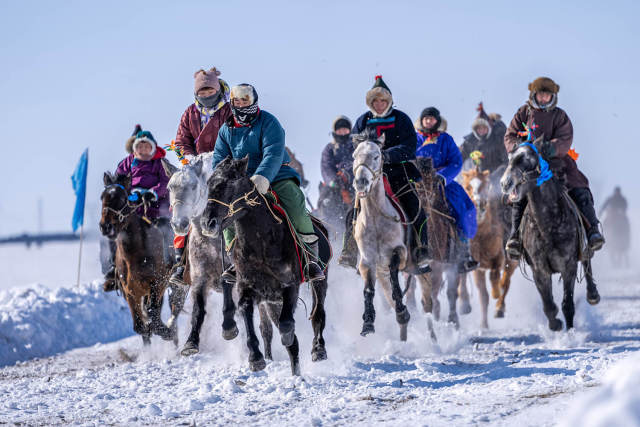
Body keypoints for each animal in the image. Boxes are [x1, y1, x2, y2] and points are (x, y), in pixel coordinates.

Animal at [164, 152, 274, 360]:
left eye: (194, 186)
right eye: (170, 187)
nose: (179, 224)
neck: (211, 242)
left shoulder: (234, 275)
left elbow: (228, 294)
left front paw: (229, 327)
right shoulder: (199, 278)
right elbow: (198, 309)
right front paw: (191, 343)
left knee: (266, 324)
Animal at [200, 157, 330, 374]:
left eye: (231, 182)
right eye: (209, 184)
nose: (207, 222)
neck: (261, 241)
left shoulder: (290, 285)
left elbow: (286, 325)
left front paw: (289, 338)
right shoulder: (247, 288)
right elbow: (247, 315)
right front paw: (255, 357)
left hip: (320, 280)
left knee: (318, 312)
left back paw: (318, 349)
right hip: (271, 301)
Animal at [460, 167, 520, 328]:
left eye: (486, 186)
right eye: (467, 187)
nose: (479, 205)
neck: (481, 236)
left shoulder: (497, 259)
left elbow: (496, 278)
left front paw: (496, 293)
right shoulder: (477, 267)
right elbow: (483, 296)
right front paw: (483, 325)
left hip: (512, 261)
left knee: (506, 281)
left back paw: (499, 308)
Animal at [500, 138, 600, 332]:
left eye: (529, 159)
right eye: (510, 158)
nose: (505, 183)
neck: (547, 226)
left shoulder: (568, 266)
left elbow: (567, 304)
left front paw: (570, 332)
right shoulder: (539, 270)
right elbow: (548, 305)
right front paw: (556, 324)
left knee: (587, 262)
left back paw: (593, 294)